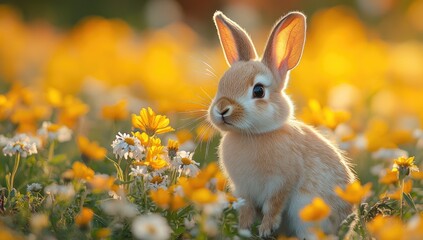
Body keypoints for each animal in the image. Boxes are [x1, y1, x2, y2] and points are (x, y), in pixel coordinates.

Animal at [209, 10, 358, 238]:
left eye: (258, 91)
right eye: (221, 85)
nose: (222, 109)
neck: (254, 135)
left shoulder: (281, 183)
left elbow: (273, 206)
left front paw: (265, 229)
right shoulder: (244, 191)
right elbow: (246, 210)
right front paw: (243, 230)